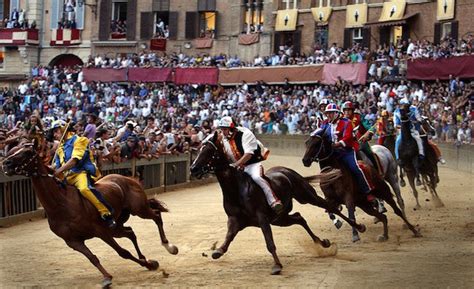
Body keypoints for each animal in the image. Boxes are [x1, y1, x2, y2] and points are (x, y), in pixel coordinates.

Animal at [0, 141, 179, 286]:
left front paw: (147, 263)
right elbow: (93, 258)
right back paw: (145, 258)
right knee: (130, 232)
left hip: (138, 209)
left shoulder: (100, 231)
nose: (6, 163)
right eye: (13, 149)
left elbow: (123, 252)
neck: (61, 205)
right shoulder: (73, 241)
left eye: (27, 152)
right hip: (116, 225)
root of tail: (127, 178)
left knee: (156, 215)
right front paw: (108, 277)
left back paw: (169, 246)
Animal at [189, 132, 366, 274]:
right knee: (299, 217)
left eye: (209, 151)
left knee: (330, 208)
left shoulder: (262, 218)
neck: (236, 189)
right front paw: (217, 250)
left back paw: (358, 228)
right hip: (280, 218)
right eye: (199, 148)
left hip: (306, 196)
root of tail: (287, 171)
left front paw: (277, 265)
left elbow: (269, 243)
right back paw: (322, 242)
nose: (193, 168)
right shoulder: (235, 220)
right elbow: (228, 238)